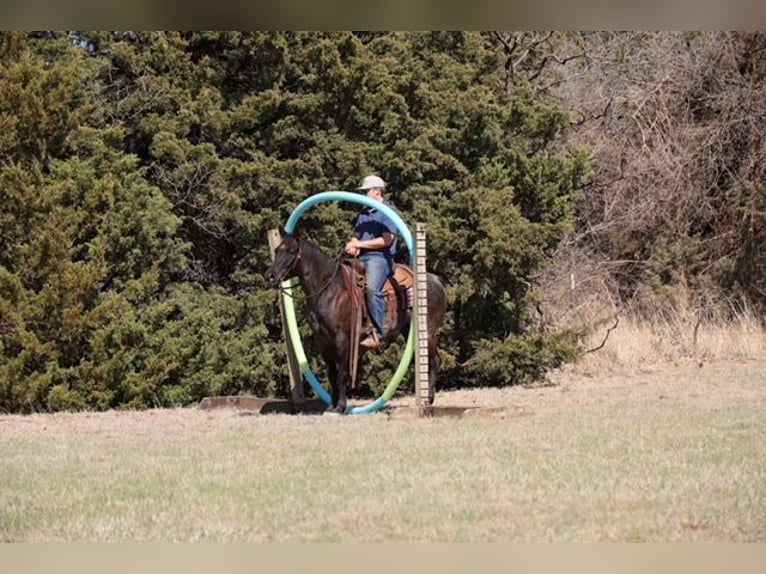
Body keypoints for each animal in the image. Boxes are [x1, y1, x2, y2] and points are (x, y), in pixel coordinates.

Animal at [265, 231, 447, 414]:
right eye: (277, 249)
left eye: (291, 251)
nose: (270, 276)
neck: (329, 289)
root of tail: (435, 280)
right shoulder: (322, 340)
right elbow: (331, 374)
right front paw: (331, 406)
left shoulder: (341, 338)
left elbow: (341, 373)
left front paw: (340, 407)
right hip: (408, 329)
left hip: (428, 331)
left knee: (435, 360)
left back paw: (428, 399)